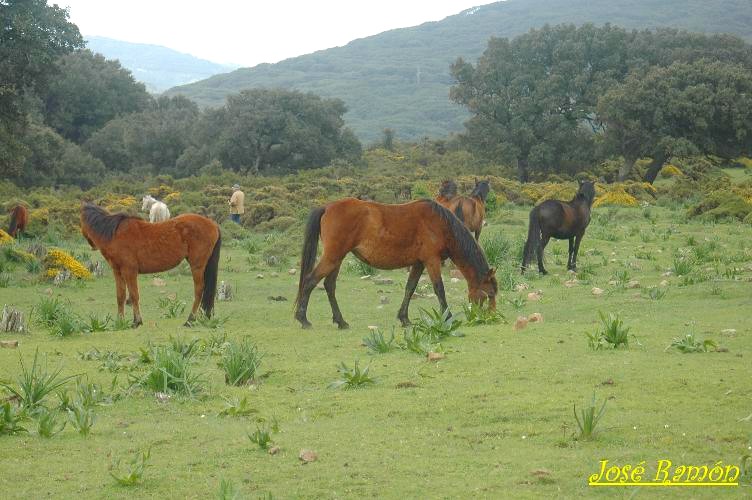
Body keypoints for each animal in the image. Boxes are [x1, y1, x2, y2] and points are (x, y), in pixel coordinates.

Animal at [80, 203, 220, 328]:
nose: (92, 245)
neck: (115, 234)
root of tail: (212, 224)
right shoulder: (117, 272)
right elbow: (120, 296)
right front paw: (120, 322)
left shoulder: (129, 271)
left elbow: (134, 295)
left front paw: (136, 321)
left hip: (197, 266)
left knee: (199, 290)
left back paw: (190, 320)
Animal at [296, 197, 500, 330]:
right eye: (489, 294)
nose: (490, 317)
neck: (441, 224)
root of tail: (327, 207)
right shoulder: (431, 261)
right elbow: (439, 289)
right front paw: (447, 317)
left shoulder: (419, 263)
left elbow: (410, 288)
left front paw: (404, 319)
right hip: (332, 258)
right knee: (309, 281)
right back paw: (303, 319)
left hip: (336, 259)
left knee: (329, 286)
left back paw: (341, 321)